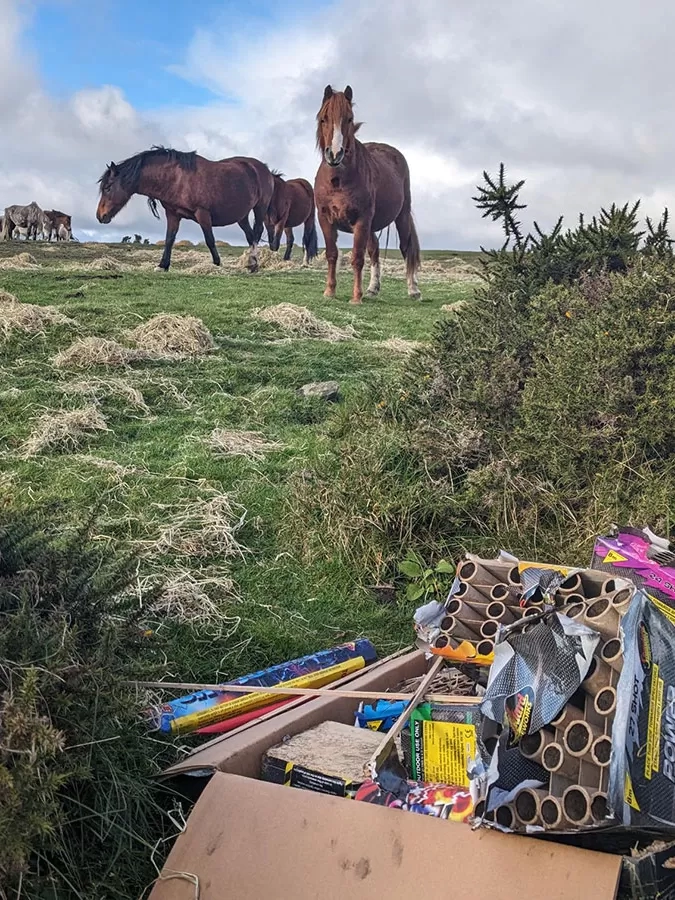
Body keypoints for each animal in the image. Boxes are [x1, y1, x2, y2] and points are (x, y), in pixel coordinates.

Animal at [95, 144, 274, 268]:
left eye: (108, 187)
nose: (100, 215)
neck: (176, 179)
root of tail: (264, 168)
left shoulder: (202, 213)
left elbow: (210, 240)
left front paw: (217, 263)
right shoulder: (173, 214)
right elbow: (169, 239)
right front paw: (162, 265)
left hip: (260, 208)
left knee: (257, 231)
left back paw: (253, 264)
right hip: (241, 216)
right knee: (250, 236)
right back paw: (250, 262)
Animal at [314, 85, 420, 302]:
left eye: (349, 119)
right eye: (323, 118)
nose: (335, 154)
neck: (338, 180)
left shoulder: (362, 220)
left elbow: (357, 258)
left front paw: (356, 297)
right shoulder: (325, 219)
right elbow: (332, 254)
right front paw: (330, 291)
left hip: (401, 216)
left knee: (406, 248)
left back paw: (413, 289)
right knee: (375, 250)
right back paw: (373, 288)